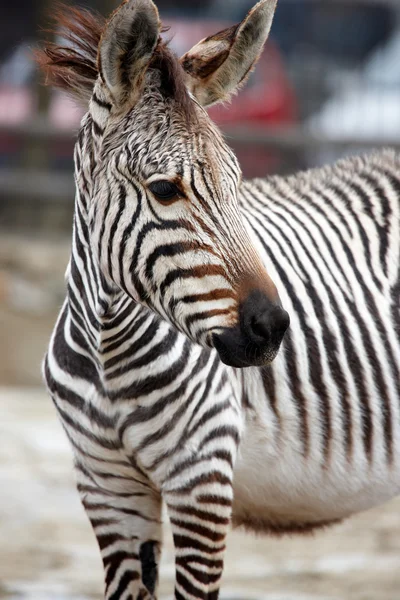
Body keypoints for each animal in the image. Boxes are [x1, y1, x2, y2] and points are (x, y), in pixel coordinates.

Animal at [38, 0, 400, 596]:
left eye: (237, 182)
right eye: (165, 190)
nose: (272, 327)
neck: (108, 353)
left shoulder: (201, 482)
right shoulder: (105, 487)